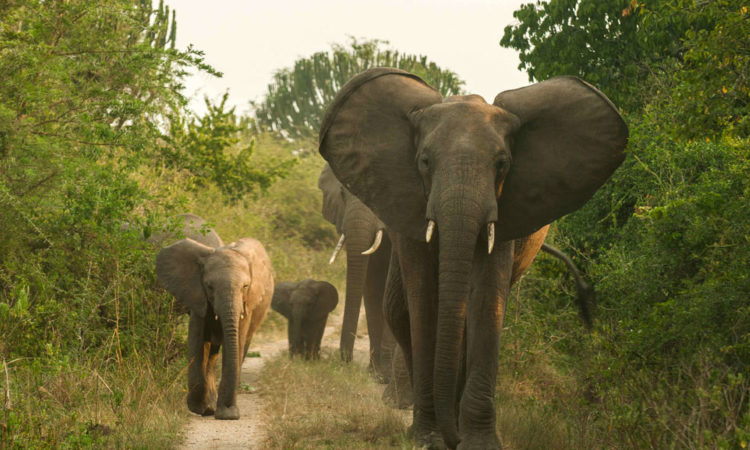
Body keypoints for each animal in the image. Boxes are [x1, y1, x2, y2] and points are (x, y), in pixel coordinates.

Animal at [156, 237, 274, 420]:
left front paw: (227, 414)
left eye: (245, 286)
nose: (230, 413)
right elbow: (197, 343)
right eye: (209, 286)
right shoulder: (198, 298)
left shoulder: (247, 304)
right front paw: (200, 408)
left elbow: (236, 343)